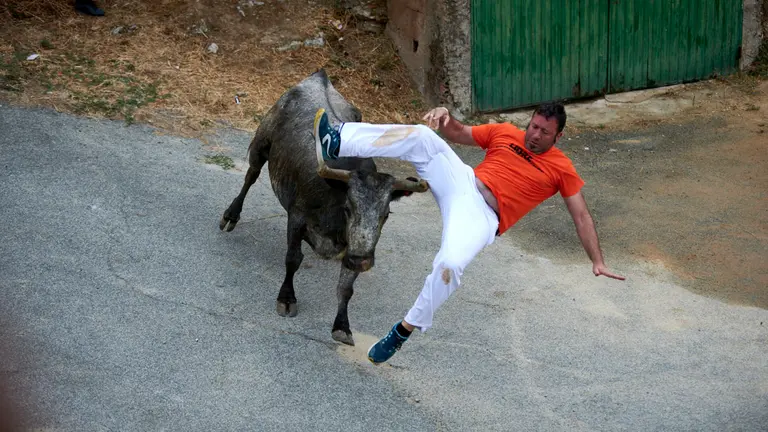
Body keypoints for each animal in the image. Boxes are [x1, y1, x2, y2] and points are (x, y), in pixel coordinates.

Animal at [219, 69, 429, 346]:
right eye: (348, 207)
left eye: (385, 215)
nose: (361, 261)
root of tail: (319, 76)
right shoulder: (297, 216)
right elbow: (293, 259)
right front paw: (286, 298)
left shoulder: (354, 246)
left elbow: (346, 287)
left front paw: (342, 325)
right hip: (261, 142)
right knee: (251, 175)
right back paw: (231, 215)